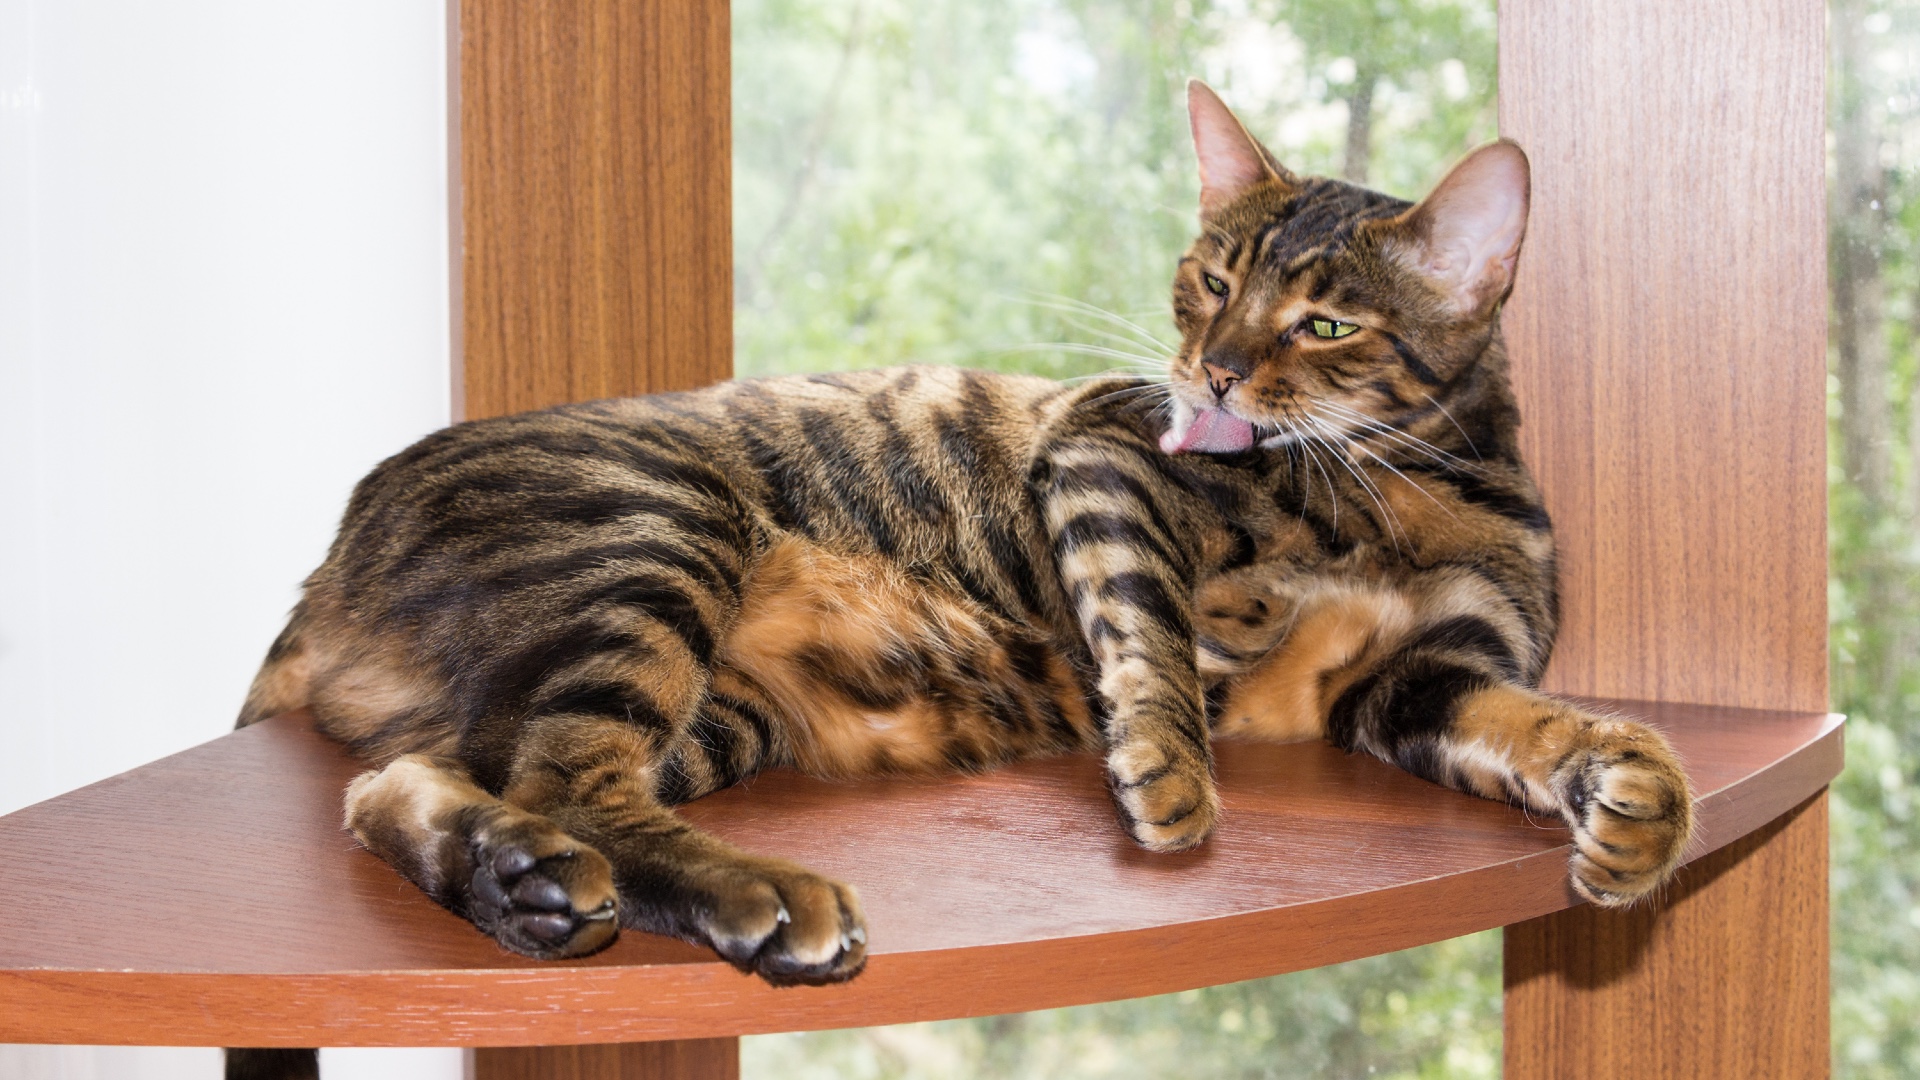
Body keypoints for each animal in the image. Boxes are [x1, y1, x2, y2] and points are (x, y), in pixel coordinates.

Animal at [240, 84, 1697, 991]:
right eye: (1212, 280)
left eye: (1326, 323)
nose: (1213, 372)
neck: (1412, 487)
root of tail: (324, 571)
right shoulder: (1110, 454)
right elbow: (1151, 625)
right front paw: (1171, 776)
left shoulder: (1422, 677)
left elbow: (1554, 727)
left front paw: (1635, 809)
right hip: (657, 535)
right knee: (564, 776)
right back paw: (757, 896)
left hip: (718, 708)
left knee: (419, 784)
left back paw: (527, 879)